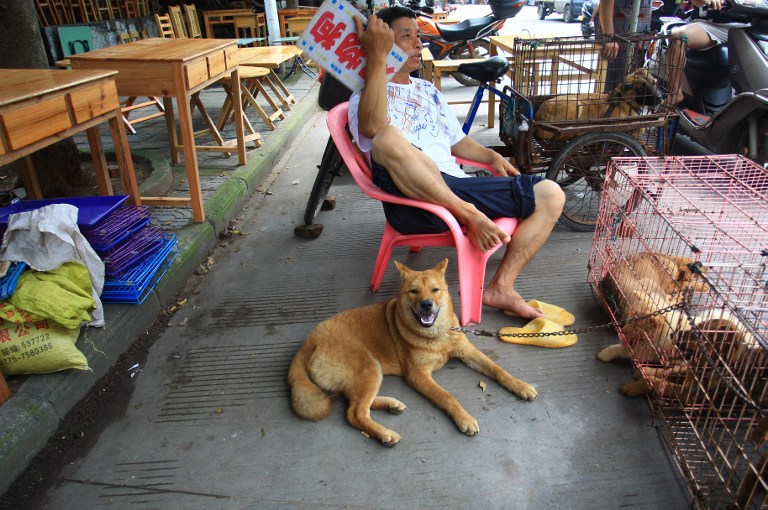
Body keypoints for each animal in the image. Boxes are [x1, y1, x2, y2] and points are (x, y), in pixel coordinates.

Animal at [284, 260, 536, 444]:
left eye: (435, 290)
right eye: (414, 291)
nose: (426, 304)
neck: (437, 336)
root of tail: (309, 342)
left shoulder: (467, 351)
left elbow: (498, 369)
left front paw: (520, 386)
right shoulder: (418, 375)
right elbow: (447, 396)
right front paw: (463, 418)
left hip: (365, 373)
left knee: (354, 403)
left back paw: (390, 405)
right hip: (368, 366)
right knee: (355, 413)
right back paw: (384, 433)